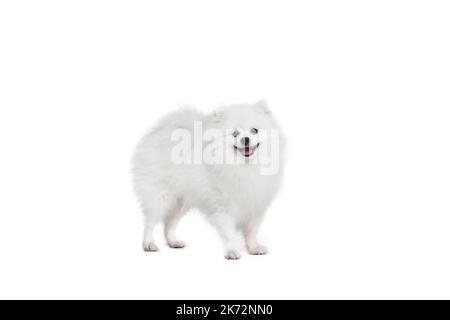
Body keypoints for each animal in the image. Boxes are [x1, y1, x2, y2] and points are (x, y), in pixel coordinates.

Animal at [132, 101, 284, 258]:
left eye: (254, 130)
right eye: (235, 134)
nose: (246, 139)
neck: (243, 167)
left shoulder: (256, 205)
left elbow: (252, 232)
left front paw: (254, 248)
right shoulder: (222, 206)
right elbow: (228, 232)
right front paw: (232, 251)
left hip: (181, 202)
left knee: (169, 224)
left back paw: (173, 242)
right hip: (160, 198)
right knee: (149, 223)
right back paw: (149, 244)